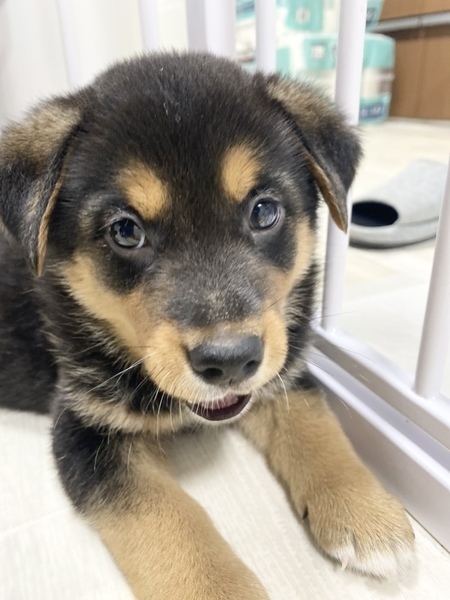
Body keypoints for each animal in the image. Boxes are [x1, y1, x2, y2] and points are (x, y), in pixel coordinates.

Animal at [0, 53, 414, 599]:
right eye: (126, 231)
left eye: (264, 211)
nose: (230, 361)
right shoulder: (86, 430)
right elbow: (168, 517)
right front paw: (218, 587)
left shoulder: (285, 369)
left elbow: (317, 424)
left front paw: (366, 511)